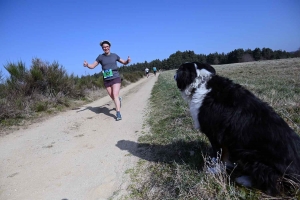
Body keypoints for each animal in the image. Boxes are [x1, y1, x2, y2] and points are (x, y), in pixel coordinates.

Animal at [175, 61, 298, 195]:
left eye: (179, 69)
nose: (174, 74)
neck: (201, 83)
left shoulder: (215, 134)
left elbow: (219, 154)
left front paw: (214, 169)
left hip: (248, 153)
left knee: (274, 185)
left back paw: (244, 180)